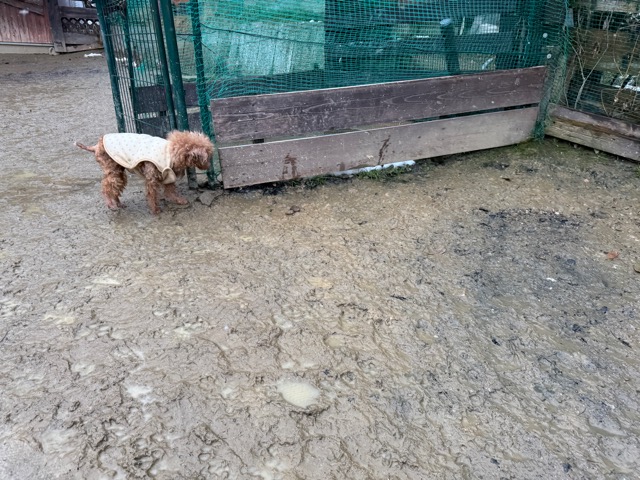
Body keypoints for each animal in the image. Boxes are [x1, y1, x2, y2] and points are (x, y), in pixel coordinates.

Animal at [76, 130, 214, 214]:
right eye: (207, 154)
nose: (209, 165)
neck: (172, 152)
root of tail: (96, 146)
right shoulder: (152, 178)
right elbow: (151, 194)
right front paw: (155, 210)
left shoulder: (167, 176)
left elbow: (171, 192)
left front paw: (179, 200)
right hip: (113, 169)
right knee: (106, 187)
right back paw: (110, 204)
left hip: (118, 171)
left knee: (114, 188)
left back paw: (118, 204)